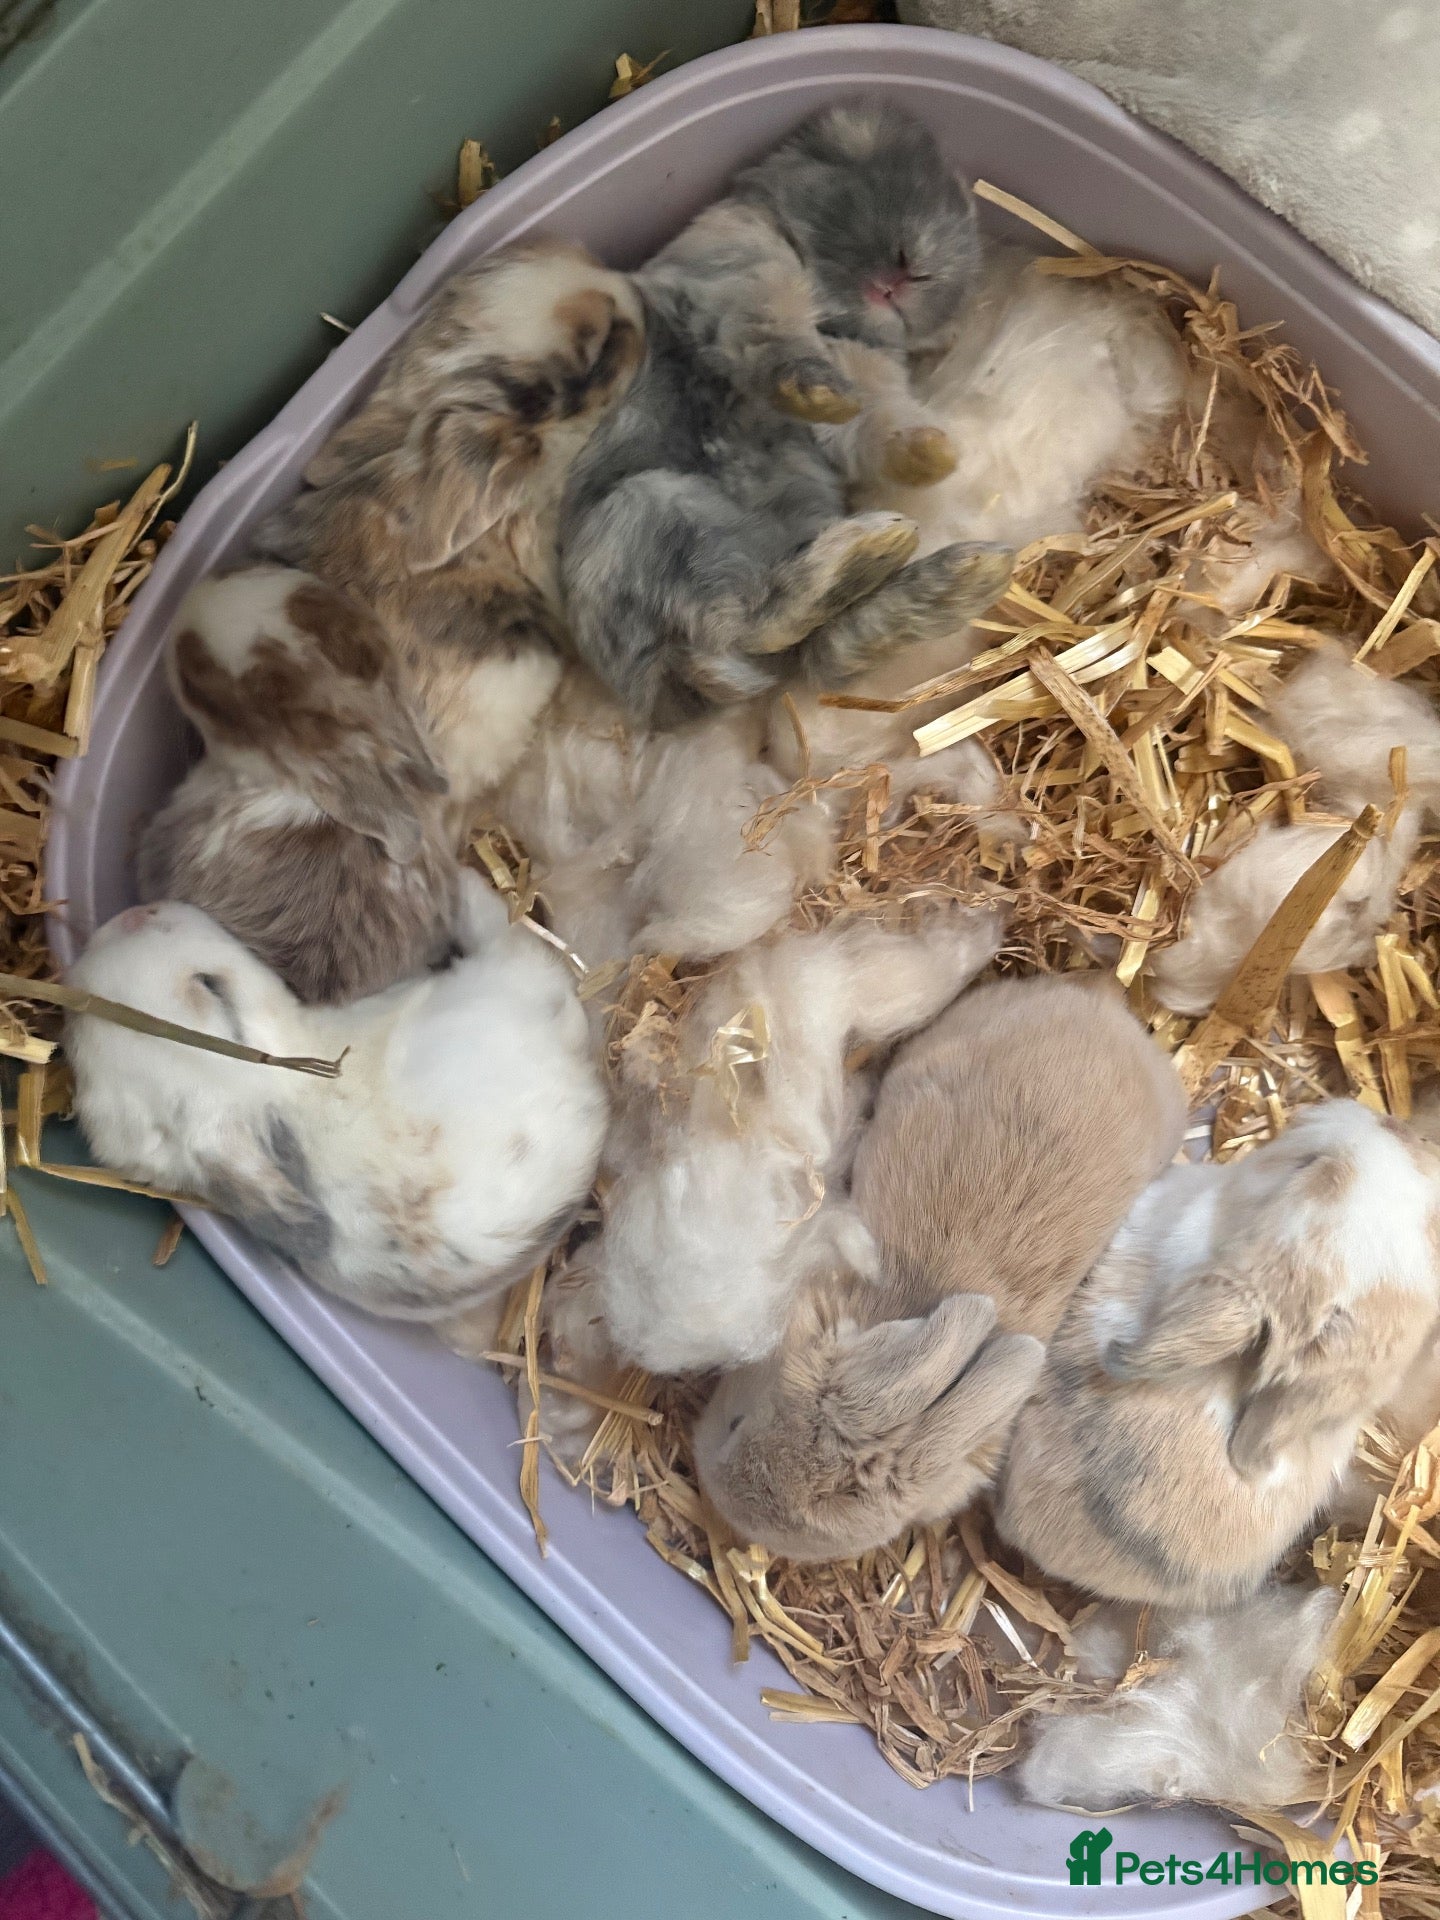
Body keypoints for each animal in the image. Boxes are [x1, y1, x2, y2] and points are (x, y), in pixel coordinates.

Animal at [557, 100, 1015, 727]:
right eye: (863, 155)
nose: (910, 274)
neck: (833, 321)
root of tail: (673, 685)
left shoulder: (865, 386)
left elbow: (877, 425)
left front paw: (933, 453)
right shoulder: (743, 268)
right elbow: (774, 333)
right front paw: (816, 391)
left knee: (821, 644)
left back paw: (951, 571)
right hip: (657, 511)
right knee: (760, 620)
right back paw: (873, 559)